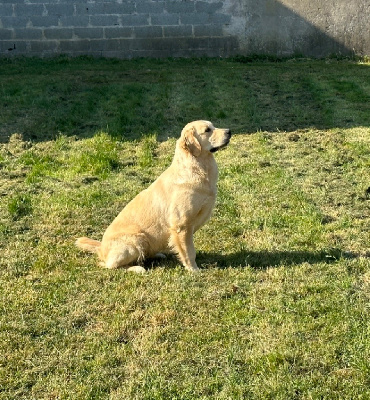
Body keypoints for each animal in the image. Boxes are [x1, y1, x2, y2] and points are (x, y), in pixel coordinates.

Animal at [75, 120, 231, 274]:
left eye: (214, 126)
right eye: (207, 130)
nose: (229, 131)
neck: (198, 168)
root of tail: (101, 248)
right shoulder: (182, 225)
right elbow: (189, 251)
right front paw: (193, 270)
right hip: (137, 239)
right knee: (110, 265)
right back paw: (136, 268)